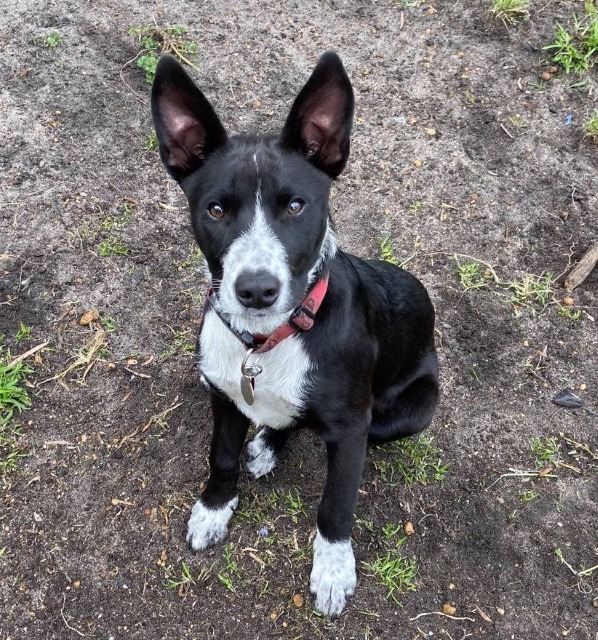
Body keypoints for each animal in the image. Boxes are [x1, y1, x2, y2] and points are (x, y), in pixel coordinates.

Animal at [151, 51, 439, 617]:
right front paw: (214, 509)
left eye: (296, 206)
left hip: (411, 408)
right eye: (215, 209)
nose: (256, 290)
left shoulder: (350, 429)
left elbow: (336, 505)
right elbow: (221, 455)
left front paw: (332, 570)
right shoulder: (223, 394)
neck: (268, 340)